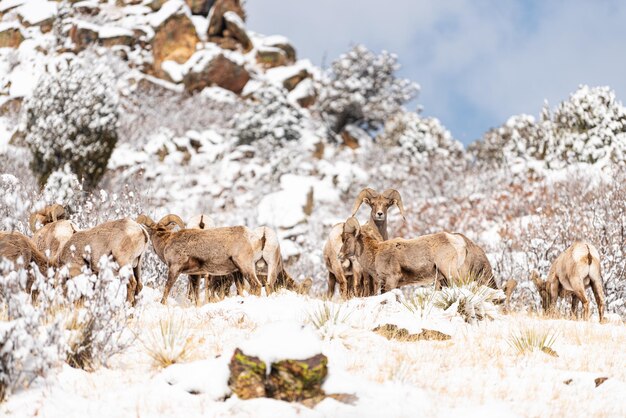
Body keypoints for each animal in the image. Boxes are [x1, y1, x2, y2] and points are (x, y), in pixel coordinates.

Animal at [336, 217, 492, 292]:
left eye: (346, 239)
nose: (339, 255)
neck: (375, 254)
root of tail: (457, 241)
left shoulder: (391, 280)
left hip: (450, 272)